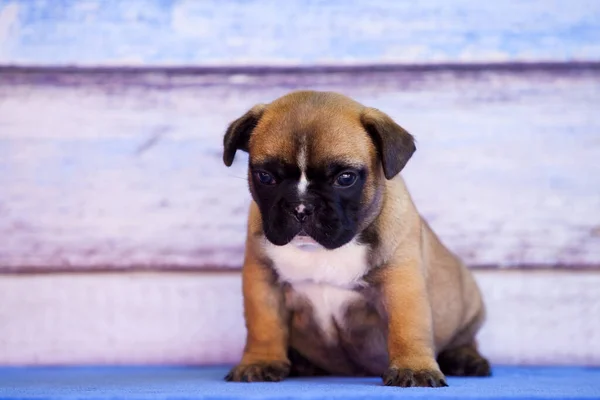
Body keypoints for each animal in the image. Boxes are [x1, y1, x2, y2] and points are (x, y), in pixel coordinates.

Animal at [223, 91, 490, 388]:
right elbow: (264, 325)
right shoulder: (263, 281)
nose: (301, 207)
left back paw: (466, 360)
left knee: (465, 339)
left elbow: (407, 326)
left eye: (345, 178)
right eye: (265, 176)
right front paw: (260, 362)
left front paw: (414, 368)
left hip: (468, 305)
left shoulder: (401, 283)